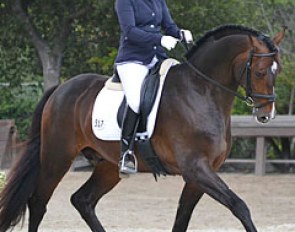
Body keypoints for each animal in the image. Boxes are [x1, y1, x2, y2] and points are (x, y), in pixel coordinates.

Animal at [0, 24, 286, 231]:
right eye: (260, 72)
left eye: (278, 70)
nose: (266, 115)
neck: (201, 91)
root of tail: (61, 88)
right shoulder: (196, 169)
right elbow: (240, 206)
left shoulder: (200, 175)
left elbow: (182, 217)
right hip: (57, 157)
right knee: (38, 202)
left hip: (108, 166)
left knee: (83, 200)